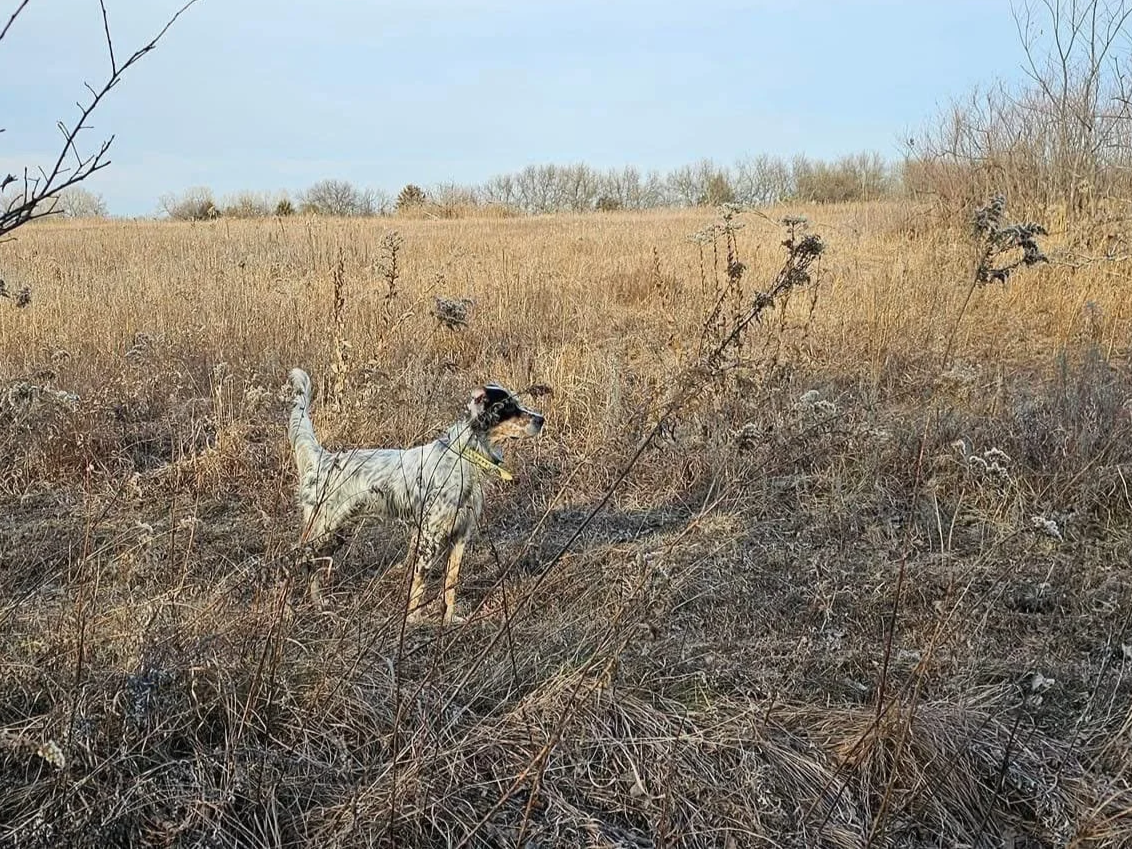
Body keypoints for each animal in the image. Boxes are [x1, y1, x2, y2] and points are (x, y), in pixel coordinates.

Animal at [287, 368, 544, 623]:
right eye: (507, 407)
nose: (541, 419)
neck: (464, 457)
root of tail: (323, 459)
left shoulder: (460, 536)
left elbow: (450, 584)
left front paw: (448, 620)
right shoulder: (429, 538)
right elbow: (419, 585)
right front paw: (412, 620)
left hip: (336, 532)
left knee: (313, 566)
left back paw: (319, 604)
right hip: (324, 529)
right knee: (296, 561)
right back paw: (293, 610)